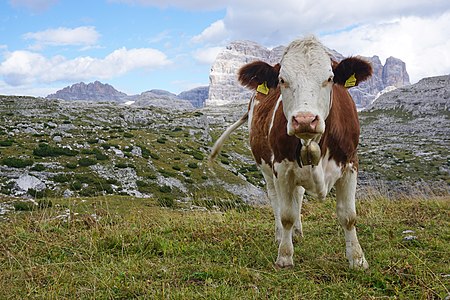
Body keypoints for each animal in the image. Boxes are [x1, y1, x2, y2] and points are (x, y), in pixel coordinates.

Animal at [209, 36, 370, 268]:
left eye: (330, 78)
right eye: (282, 80)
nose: (304, 120)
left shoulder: (350, 163)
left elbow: (348, 216)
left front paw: (357, 259)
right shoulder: (282, 167)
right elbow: (286, 215)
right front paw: (284, 255)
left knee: (299, 194)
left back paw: (298, 231)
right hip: (267, 168)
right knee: (276, 198)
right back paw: (280, 235)